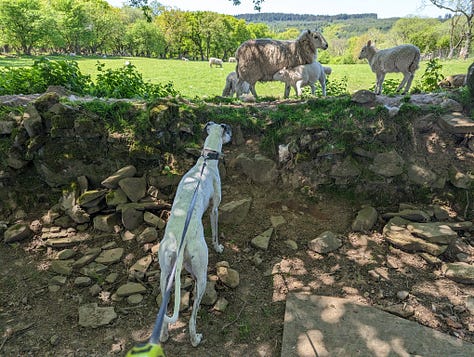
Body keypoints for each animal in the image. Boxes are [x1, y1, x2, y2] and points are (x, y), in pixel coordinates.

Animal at [158, 119, 232, 344]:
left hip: (165, 274)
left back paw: (163, 334)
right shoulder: (215, 209)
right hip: (201, 274)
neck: (205, 163)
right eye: (228, 129)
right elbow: (215, 230)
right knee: (192, 316)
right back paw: (195, 338)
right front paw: (219, 246)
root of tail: (179, 244)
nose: (232, 134)